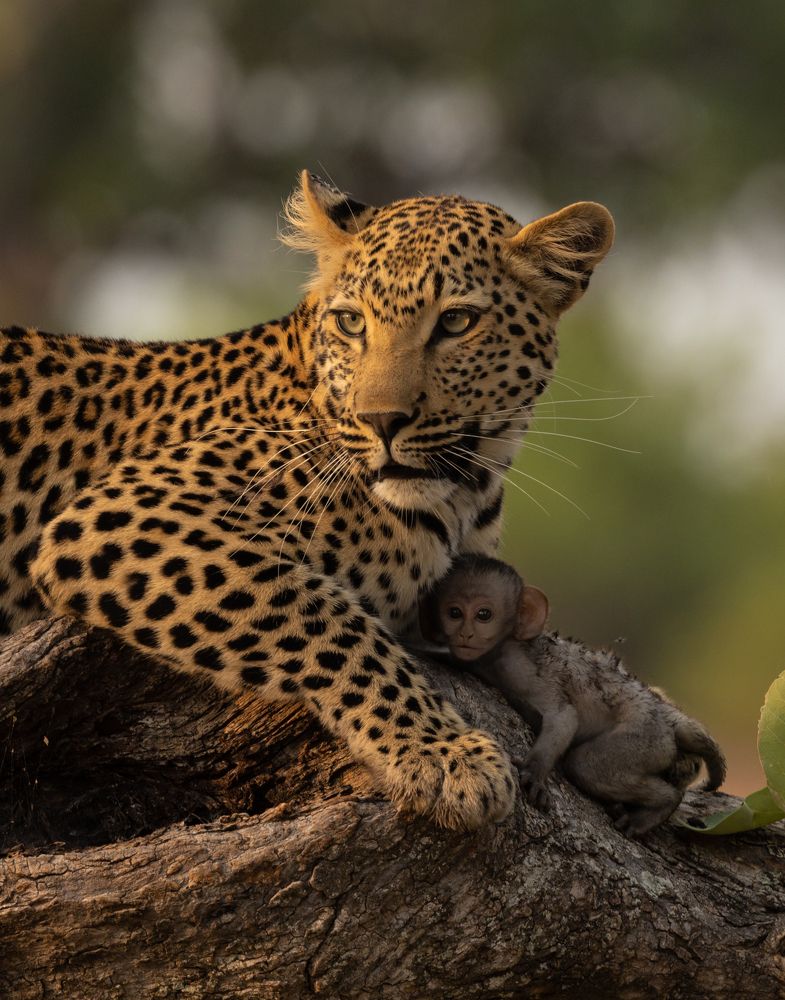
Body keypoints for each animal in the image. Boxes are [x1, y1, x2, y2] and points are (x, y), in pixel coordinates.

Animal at [0, 171, 614, 831]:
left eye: (456, 323)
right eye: (351, 323)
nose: (382, 421)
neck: (466, 491)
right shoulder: (123, 518)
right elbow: (329, 621)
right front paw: (446, 756)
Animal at [419, 554, 726, 836]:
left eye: (484, 614)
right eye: (454, 612)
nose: (465, 634)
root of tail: (667, 721)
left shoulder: (518, 666)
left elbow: (563, 716)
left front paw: (535, 773)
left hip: (645, 740)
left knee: (587, 766)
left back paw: (658, 807)